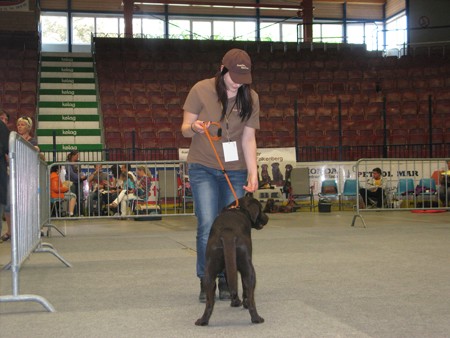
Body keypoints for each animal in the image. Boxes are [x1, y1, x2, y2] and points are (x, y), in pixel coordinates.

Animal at [195, 197, 268, 326]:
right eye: (261, 209)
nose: (267, 218)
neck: (239, 208)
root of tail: (228, 233)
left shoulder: (227, 269)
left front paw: (235, 302)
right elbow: (244, 290)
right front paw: (242, 303)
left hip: (210, 270)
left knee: (209, 303)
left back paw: (203, 321)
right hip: (249, 270)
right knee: (251, 299)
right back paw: (257, 318)